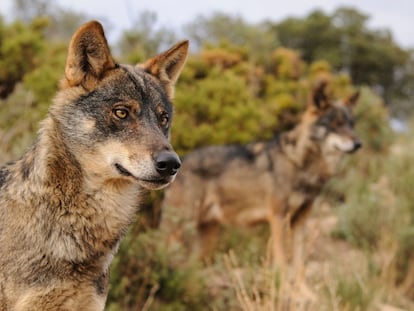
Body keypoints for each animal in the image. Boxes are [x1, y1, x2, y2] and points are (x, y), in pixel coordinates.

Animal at [161, 82, 360, 270]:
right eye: (336, 124)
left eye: (351, 125)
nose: (358, 144)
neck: (300, 164)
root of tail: (181, 161)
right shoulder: (278, 217)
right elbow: (282, 262)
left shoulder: (301, 220)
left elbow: (299, 265)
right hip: (180, 229)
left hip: (207, 236)